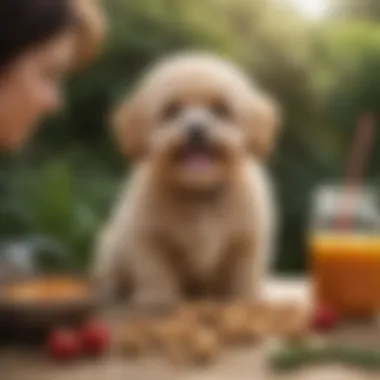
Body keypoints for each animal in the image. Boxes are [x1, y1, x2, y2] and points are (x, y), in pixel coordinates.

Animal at [93, 52, 280, 310]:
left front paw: (246, 299)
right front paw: (157, 299)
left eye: (221, 109)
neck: (198, 192)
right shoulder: (149, 237)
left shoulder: (245, 241)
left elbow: (243, 274)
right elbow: (155, 269)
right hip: (111, 251)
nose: (196, 129)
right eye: (171, 110)